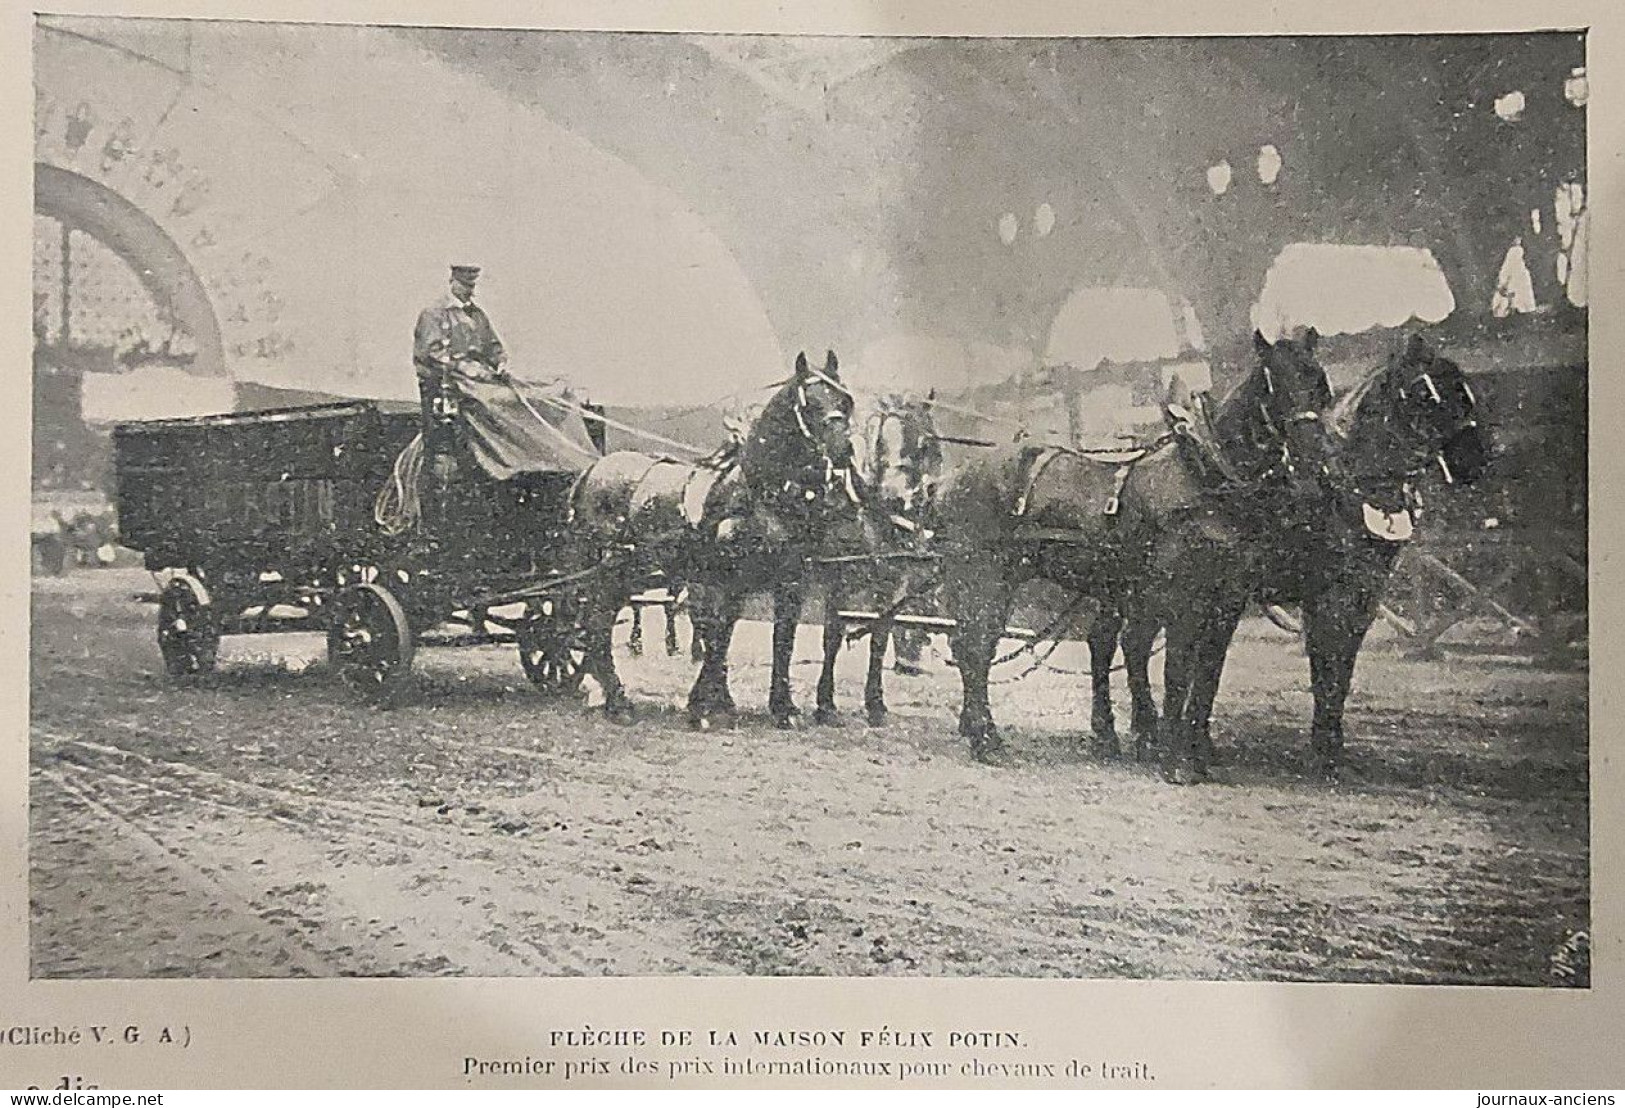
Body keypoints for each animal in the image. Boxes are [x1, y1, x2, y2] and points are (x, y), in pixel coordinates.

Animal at [565, 347, 858, 724]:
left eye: (844, 400)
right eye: (810, 404)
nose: (842, 450)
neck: (757, 493)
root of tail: (593, 469)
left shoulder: (789, 582)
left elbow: (780, 640)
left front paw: (780, 707)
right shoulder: (726, 580)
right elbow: (718, 636)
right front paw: (707, 705)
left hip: (627, 573)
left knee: (598, 622)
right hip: (610, 571)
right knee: (598, 623)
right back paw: (617, 701)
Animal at [1085, 333, 1488, 773]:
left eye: (1465, 391)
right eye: (1425, 392)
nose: (1475, 460)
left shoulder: (1361, 597)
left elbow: (1338, 671)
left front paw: (1328, 746)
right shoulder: (1324, 597)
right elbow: (1321, 666)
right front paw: (1322, 749)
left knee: (1134, 643)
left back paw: (1145, 732)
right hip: (1133, 590)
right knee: (1110, 641)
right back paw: (1112, 733)